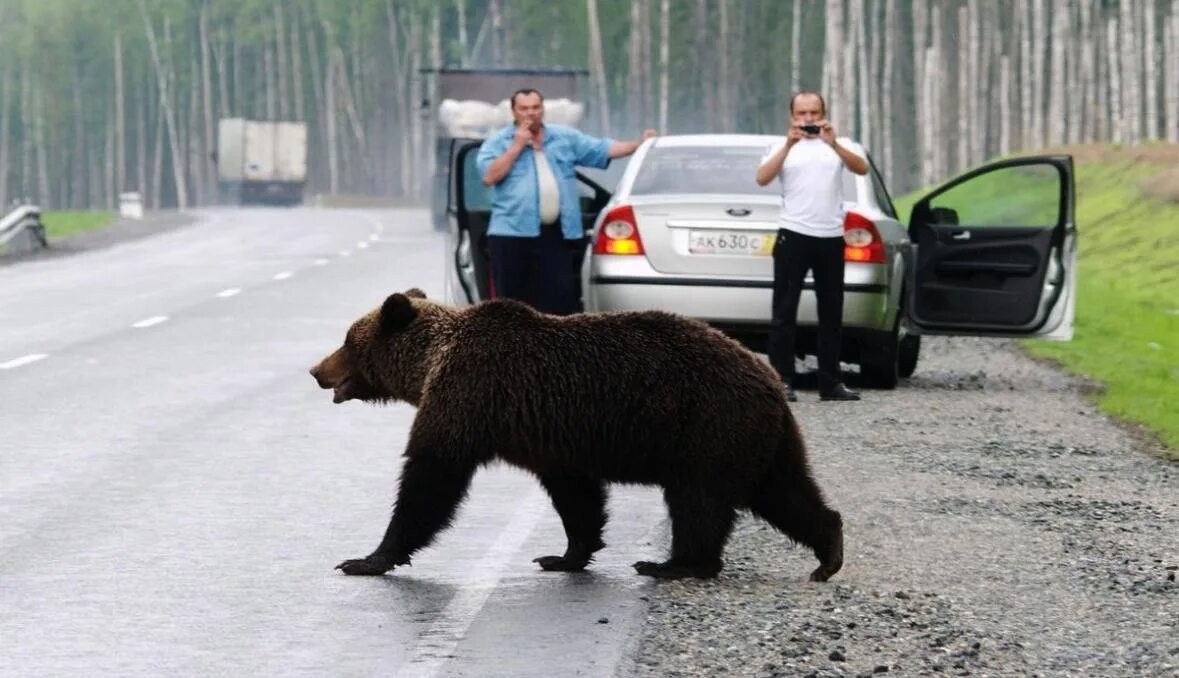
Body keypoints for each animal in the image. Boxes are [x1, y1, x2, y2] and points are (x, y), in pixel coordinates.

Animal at [308, 288, 844, 580]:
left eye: (347, 341)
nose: (317, 370)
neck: (429, 365)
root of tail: (771, 377)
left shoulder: (469, 395)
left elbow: (431, 477)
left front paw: (368, 557)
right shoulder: (547, 433)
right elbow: (576, 495)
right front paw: (566, 554)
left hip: (707, 426)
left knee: (699, 500)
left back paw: (675, 564)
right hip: (761, 437)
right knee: (786, 491)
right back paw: (829, 549)